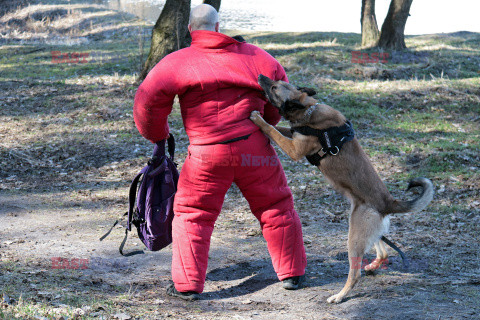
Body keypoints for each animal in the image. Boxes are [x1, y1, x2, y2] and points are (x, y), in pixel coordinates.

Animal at [251, 74, 436, 304]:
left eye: (275, 87)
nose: (260, 76)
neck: (308, 110)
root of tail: (387, 203)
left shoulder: (294, 149)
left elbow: (272, 130)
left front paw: (258, 119)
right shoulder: (293, 135)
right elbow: (282, 129)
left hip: (353, 236)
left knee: (354, 274)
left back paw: (339, 296)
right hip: (363, 229)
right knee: (382, 252)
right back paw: (373, 266)